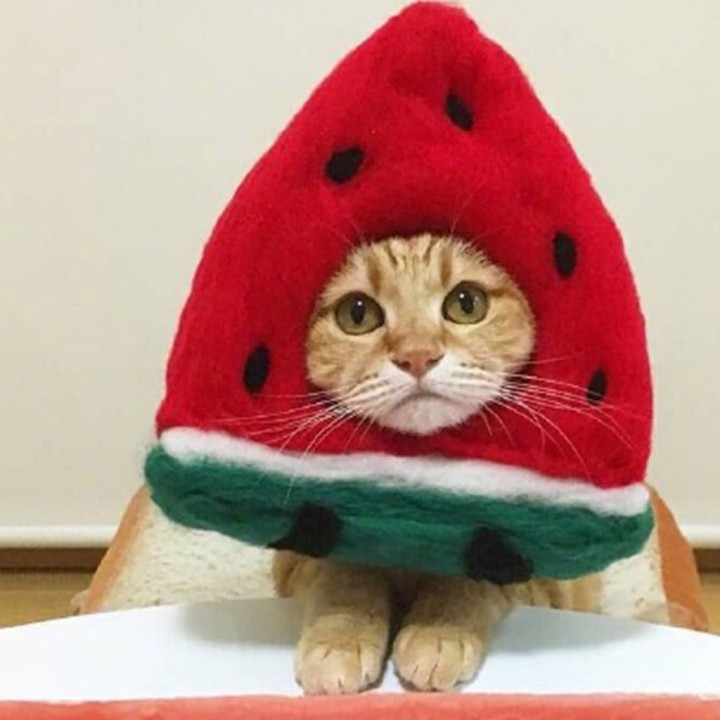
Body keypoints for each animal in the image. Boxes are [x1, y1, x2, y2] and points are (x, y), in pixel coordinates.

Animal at [273, 233, 601, 695]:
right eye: (357, 313)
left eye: (467, 303)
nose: (417, 356)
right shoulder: (296, 557)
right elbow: (344, 571)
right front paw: (340, 637)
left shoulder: (547, 579)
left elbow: (474, 572)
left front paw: (438, 631)